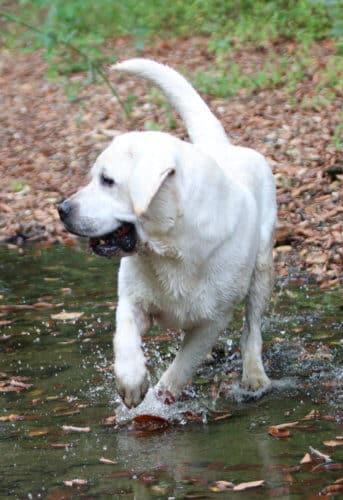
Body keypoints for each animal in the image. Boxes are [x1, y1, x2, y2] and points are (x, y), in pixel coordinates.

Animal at [59, 59, 278, 410]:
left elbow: (184, 363)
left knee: (252, 328)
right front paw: (132, 382)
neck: (170, 247)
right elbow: (124, 334)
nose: (62, 209)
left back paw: (254, 375)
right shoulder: (132, 299)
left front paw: (161, 399)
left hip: (262, 268)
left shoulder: (214, 319)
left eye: (107, 180)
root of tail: (221, 148)